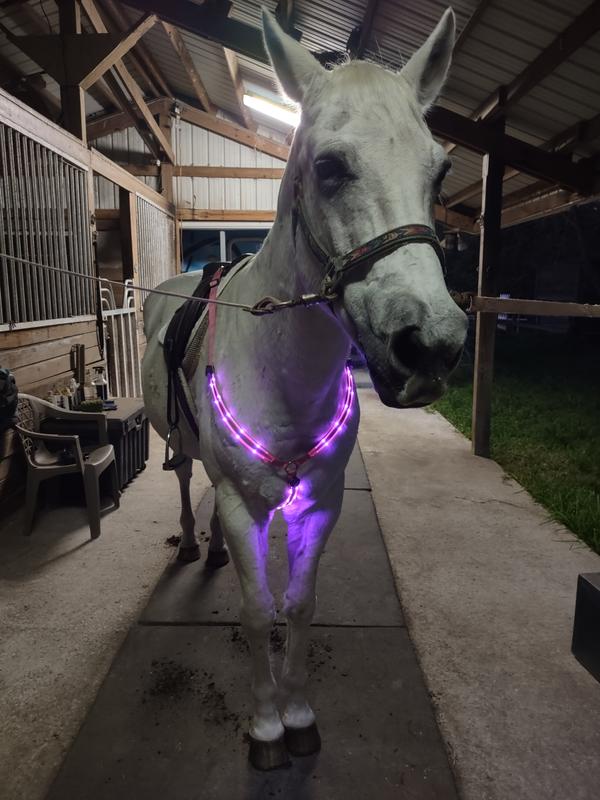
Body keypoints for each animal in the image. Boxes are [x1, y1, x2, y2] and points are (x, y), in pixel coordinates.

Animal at [141, 7, 467, 770]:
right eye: (328, 167)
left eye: (439, 172)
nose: (431, 345)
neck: (284, 374)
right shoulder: (242, 504)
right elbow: (258, 611)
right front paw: (265, 727)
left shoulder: (320, 503)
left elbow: (299, 605)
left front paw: (297, 715)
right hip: (180, 448)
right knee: (185, 480)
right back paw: (193, 542)